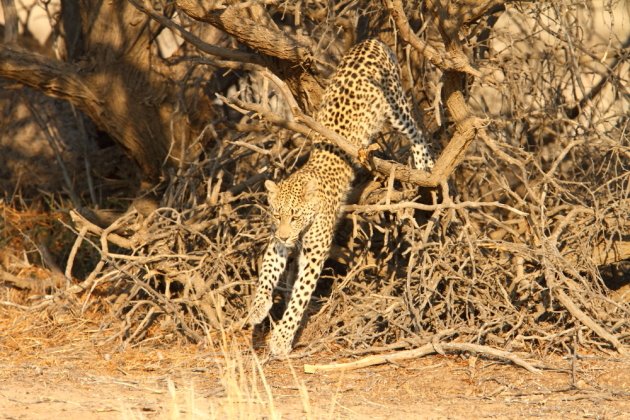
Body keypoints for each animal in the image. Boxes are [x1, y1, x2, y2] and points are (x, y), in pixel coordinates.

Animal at [249, 39, 436, 356]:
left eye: (295, 216)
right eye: (277, 215)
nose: (286, 235)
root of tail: (370, 41)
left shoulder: (315, 251)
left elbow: (300, 295)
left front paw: (282, 338)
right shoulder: (278, 241)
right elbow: (268, 271)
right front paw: (258, 306)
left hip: (395, 105)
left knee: (416, 128)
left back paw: (424, 162)